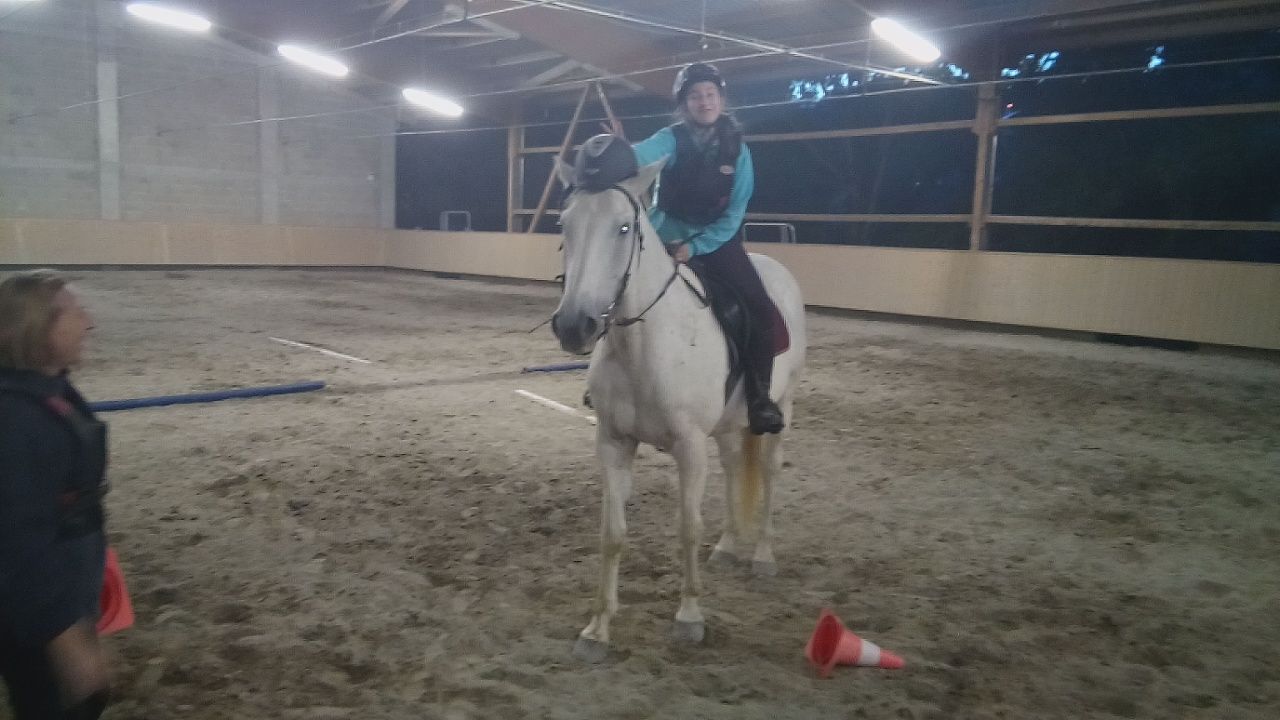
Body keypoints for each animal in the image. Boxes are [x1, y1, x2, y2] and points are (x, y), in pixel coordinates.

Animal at [550, 156, 807, 661]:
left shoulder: (689, 447)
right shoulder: (613, 442)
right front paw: (597, 629)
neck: (644, 343)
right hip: (727, 427)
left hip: (780, 410)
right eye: (565, 224)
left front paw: (689, 617)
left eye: (624, 227)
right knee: (734, 468)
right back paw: (727, 547)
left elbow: (688, 527)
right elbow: (612, 533)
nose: (574, 325)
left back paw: (762, 556)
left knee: (769, 474)